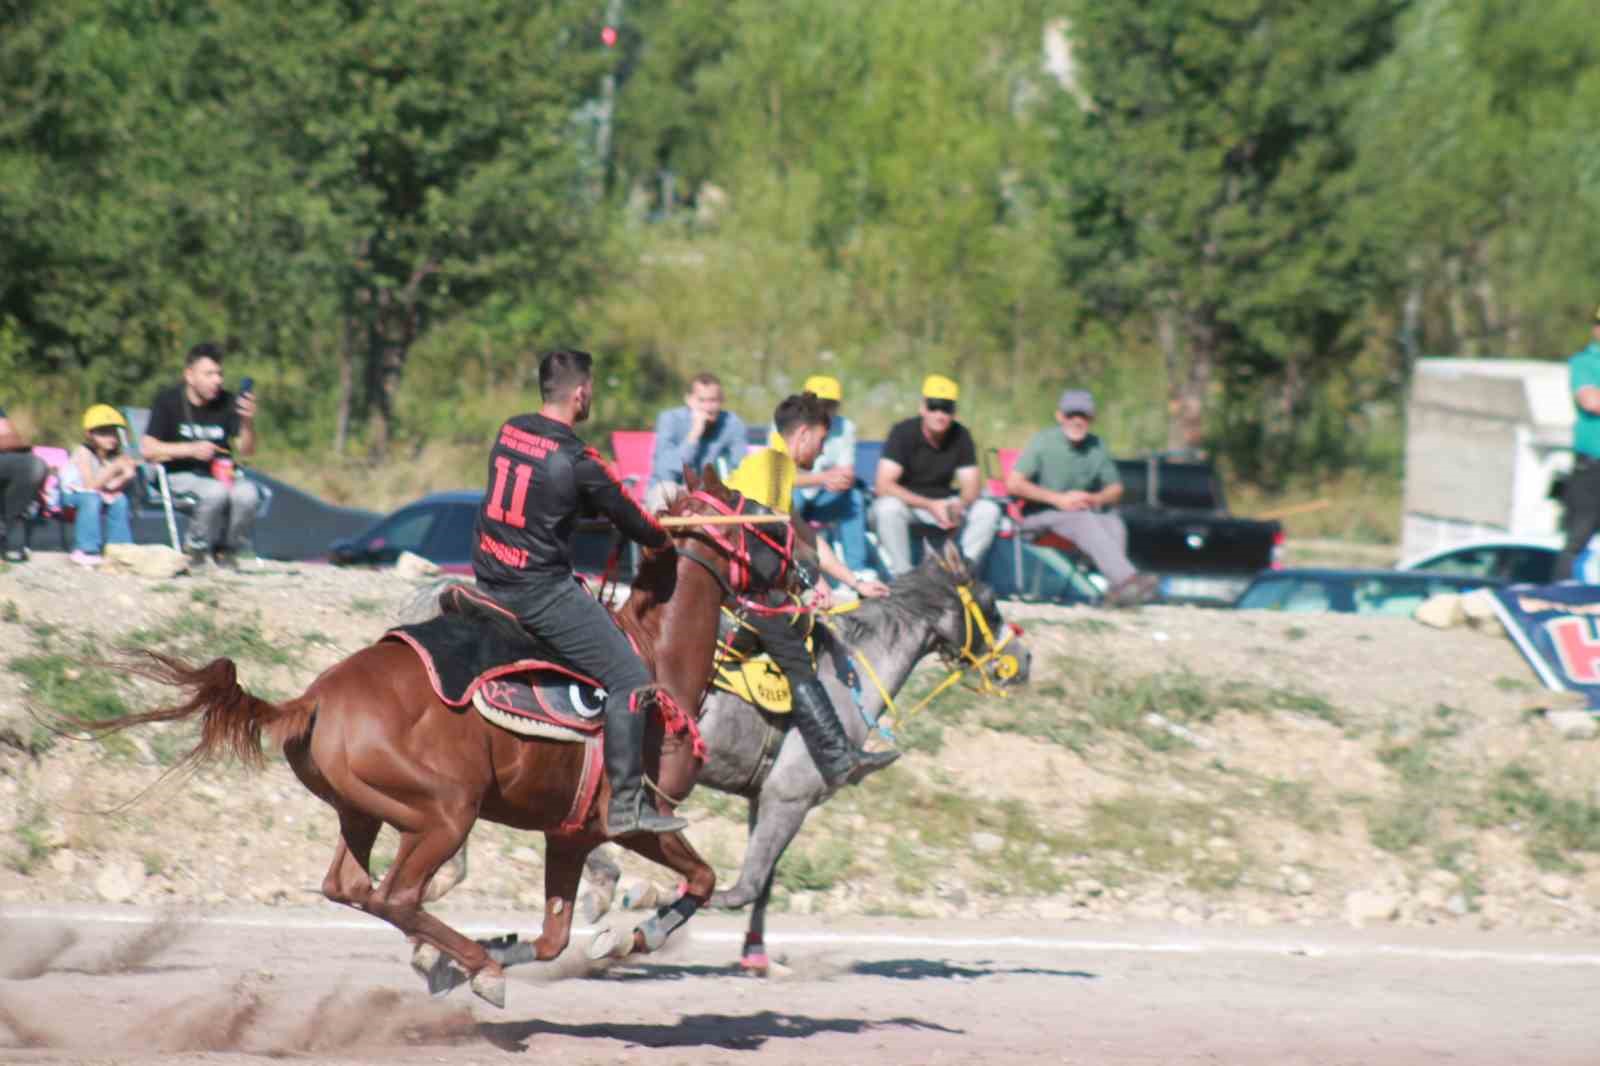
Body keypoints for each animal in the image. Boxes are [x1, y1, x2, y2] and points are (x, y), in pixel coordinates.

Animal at [75, 470, 800, 1005]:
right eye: (760, 516)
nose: (802, 575)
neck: (653, 657)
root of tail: (318, 698)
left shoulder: (568, 834)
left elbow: (554, 937)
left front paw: (537, 946)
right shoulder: (637, 818)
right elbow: (701, 878)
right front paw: (635, 935)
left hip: (365, 811)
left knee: (350, 886)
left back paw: (461, 957)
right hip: (445, 813)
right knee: (393, 894)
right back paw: (476, 964)